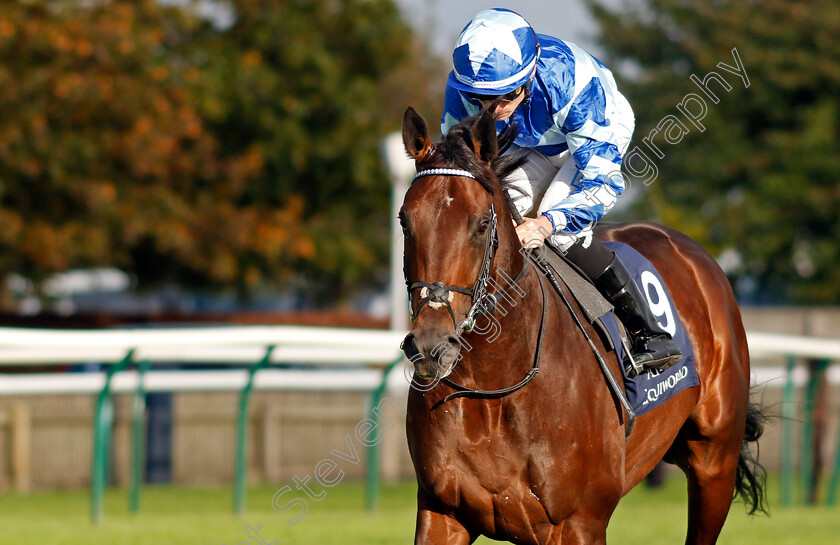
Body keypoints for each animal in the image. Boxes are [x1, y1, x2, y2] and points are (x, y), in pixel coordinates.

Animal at [398, 107, 764, 544]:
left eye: (481, 224)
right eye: (404, 221)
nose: (430, 345)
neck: (494, 387)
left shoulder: (580, 522)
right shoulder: (442, 511)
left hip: (715, 462)